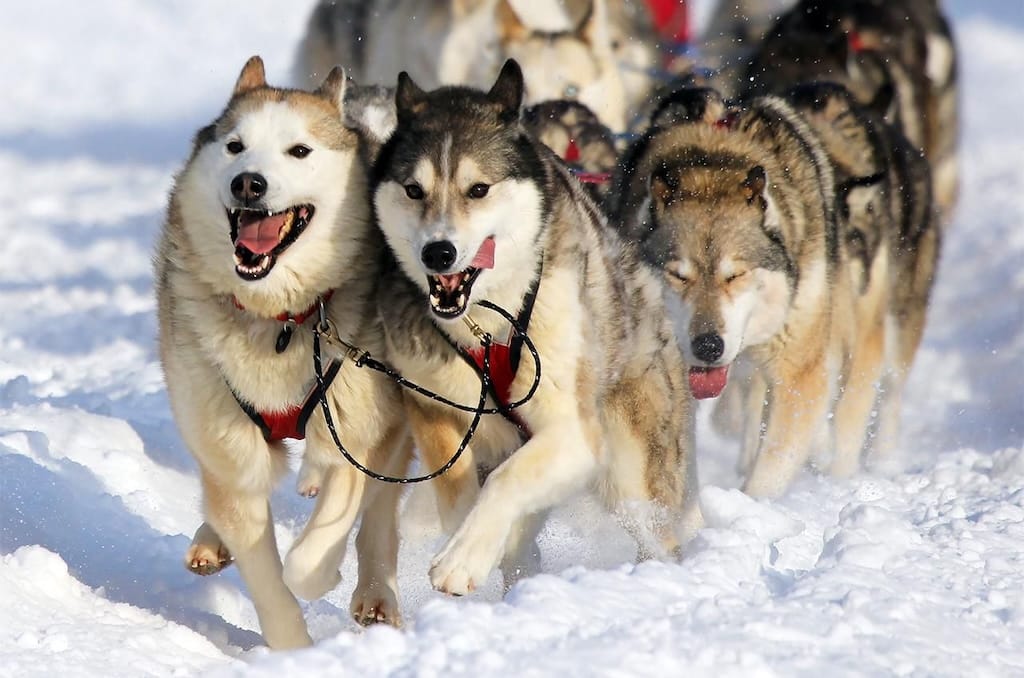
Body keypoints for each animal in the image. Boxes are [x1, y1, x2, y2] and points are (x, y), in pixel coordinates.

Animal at [372, 62, 700, 594]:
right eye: (413, 190)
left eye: (478, 189)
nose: (437, 252)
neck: (485, 324)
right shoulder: (433, 408)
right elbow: (457, 492)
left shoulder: (573, 434)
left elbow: (505, 482)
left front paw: (463, 559)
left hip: (634, 478)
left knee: (655, 532)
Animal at [606, 87, 872, 497]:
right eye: (678, 276)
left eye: (735, 275)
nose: (708, 346)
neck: (712, 165)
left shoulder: (798, 371)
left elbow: (773, 466)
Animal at [786, 80, 937, 473]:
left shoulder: (866, 330)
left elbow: (850, 408)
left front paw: (840, 475)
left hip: (900, 319)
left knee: (891, 392)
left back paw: (883, 457)